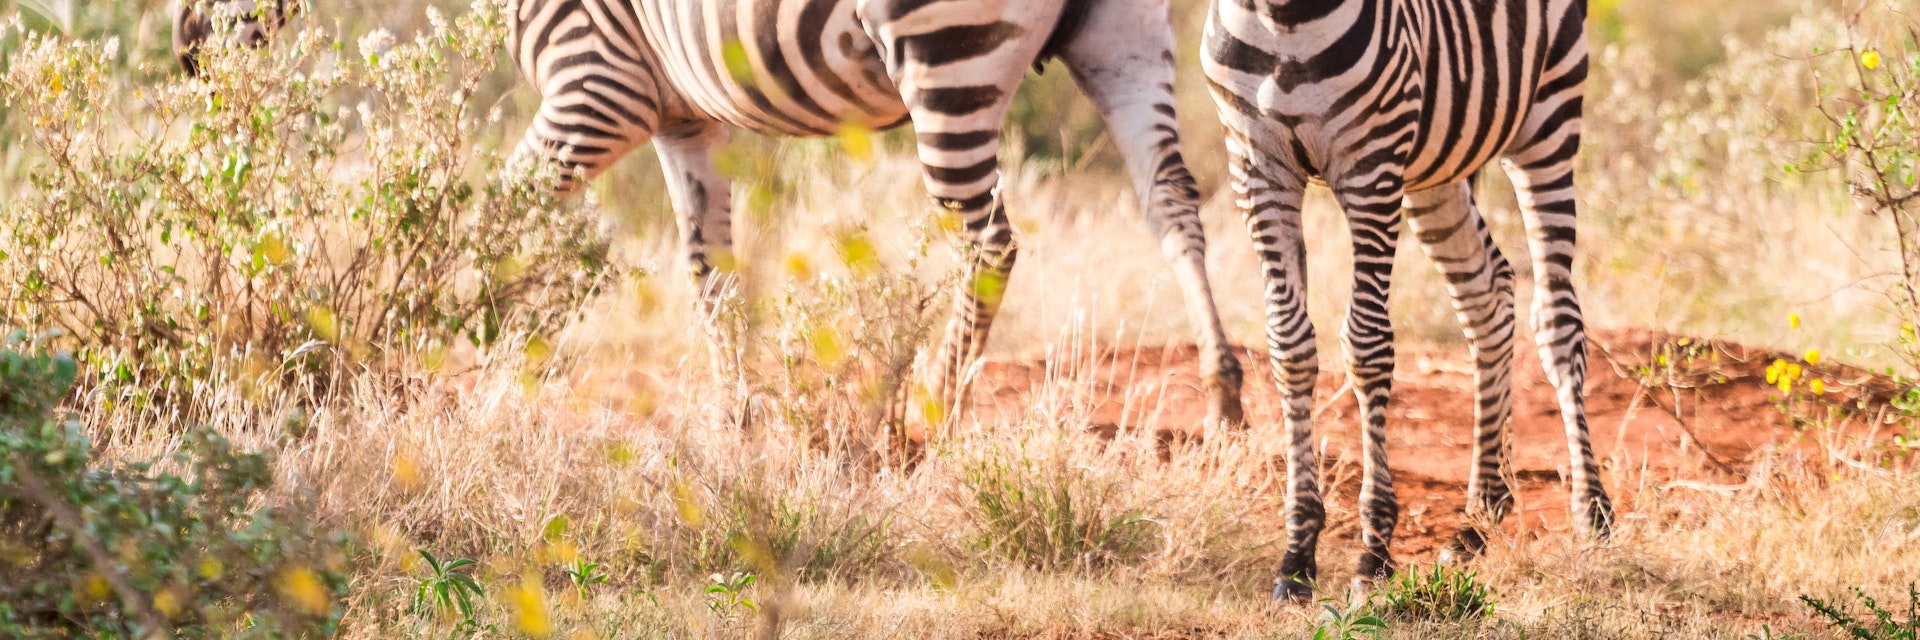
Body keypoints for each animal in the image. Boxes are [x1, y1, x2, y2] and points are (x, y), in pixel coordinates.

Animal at [174, 0, 1250, 433]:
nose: (187, 54)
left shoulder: (593, 87)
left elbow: (482, 227)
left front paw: (429, 359)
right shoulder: (681, 115)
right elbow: (710, 268)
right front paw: (739, 412)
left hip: (946, 53)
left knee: (989, 240)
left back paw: (925, 412)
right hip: (1122, 39)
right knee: (1172, 201)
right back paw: (1226, 389)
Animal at [1201, 0, 1611, 599]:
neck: (1286, 18)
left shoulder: (1371, 170)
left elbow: (1366, 347)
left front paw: (1373, 555)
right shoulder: (1257, 167)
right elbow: (1289, 347)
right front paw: (1297, 556)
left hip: (1547, 120)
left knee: (1558, 321)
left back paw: (1592, 515)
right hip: (1435, 170)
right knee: (1488, 295)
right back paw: (1478, 517)